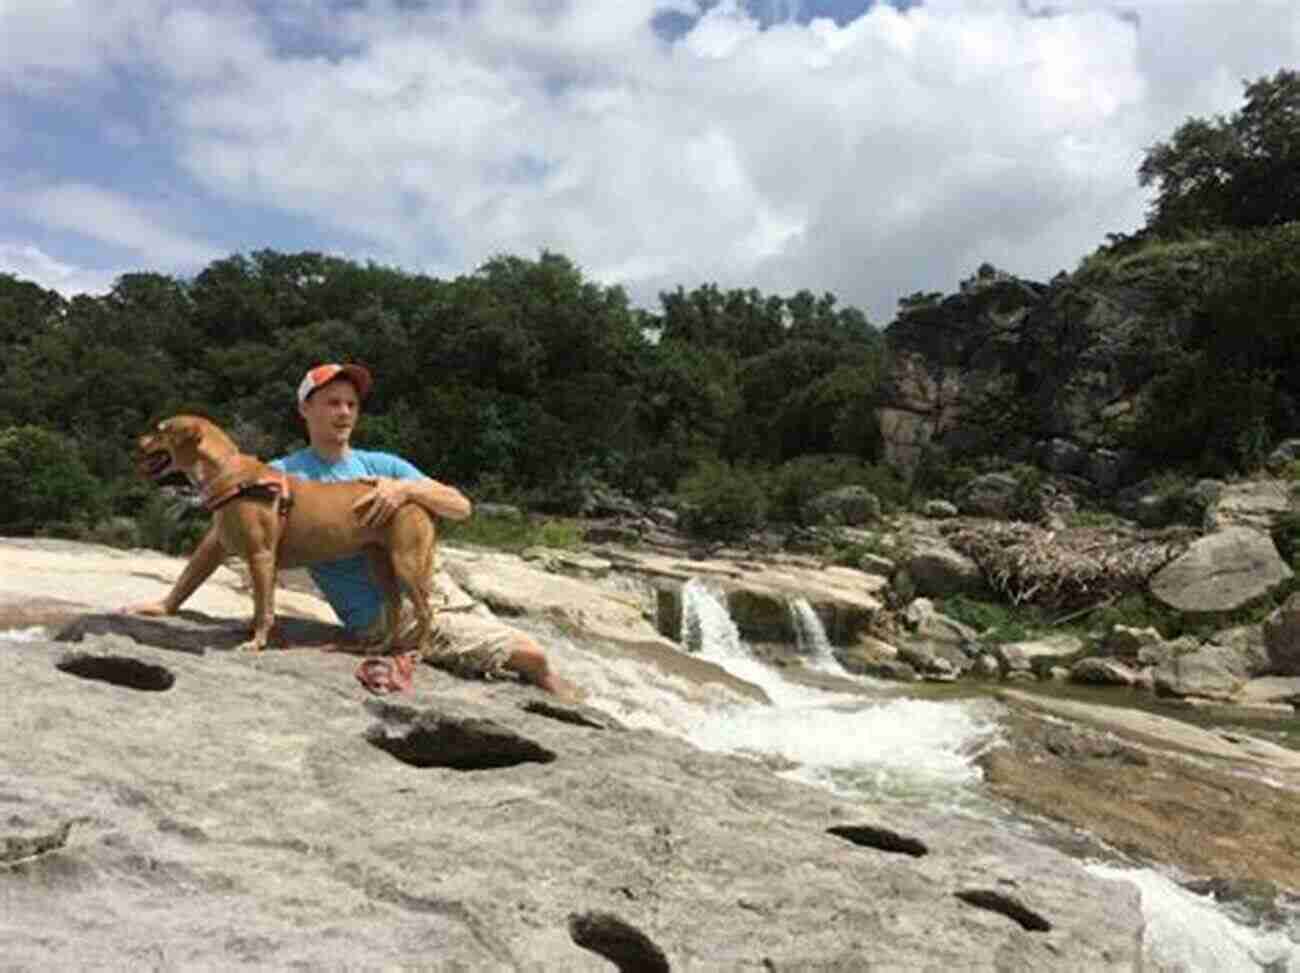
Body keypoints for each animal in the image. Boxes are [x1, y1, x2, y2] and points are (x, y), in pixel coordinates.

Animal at [136, 416, 434, 653]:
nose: (138, 440)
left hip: (405, 562)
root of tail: (417, 502)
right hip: (380, 562)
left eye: (160, 430)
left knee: (425, 611)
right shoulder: (246, 555)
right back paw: (382, 647)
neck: (228, 472)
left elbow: (263, 608)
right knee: (395, 606)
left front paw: (256, 642)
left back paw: (415, 651)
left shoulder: (261, 556)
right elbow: (257, 603)